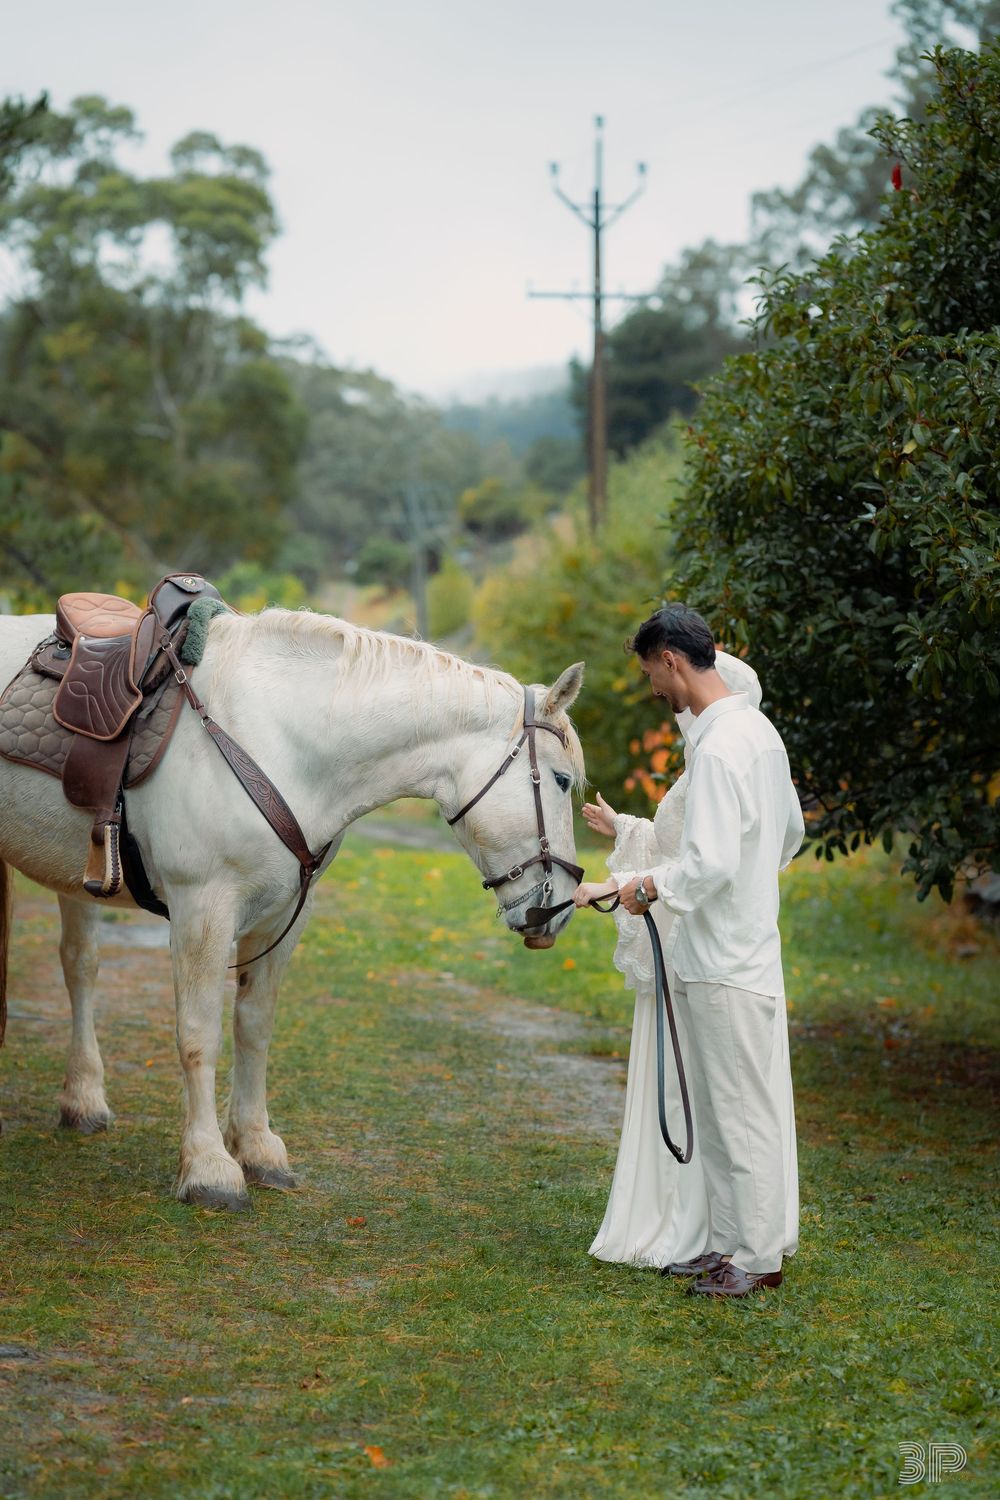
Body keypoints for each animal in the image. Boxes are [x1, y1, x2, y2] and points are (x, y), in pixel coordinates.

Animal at [0, 605, 585, 1210]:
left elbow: (254, 1026)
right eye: (562, 780)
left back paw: (83, 1100)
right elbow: (199, 1034)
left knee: (80, 965)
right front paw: (209, 1166)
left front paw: (256, 1147)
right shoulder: (203, 908)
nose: (561, 909)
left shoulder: (283, 917)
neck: (276, 738)